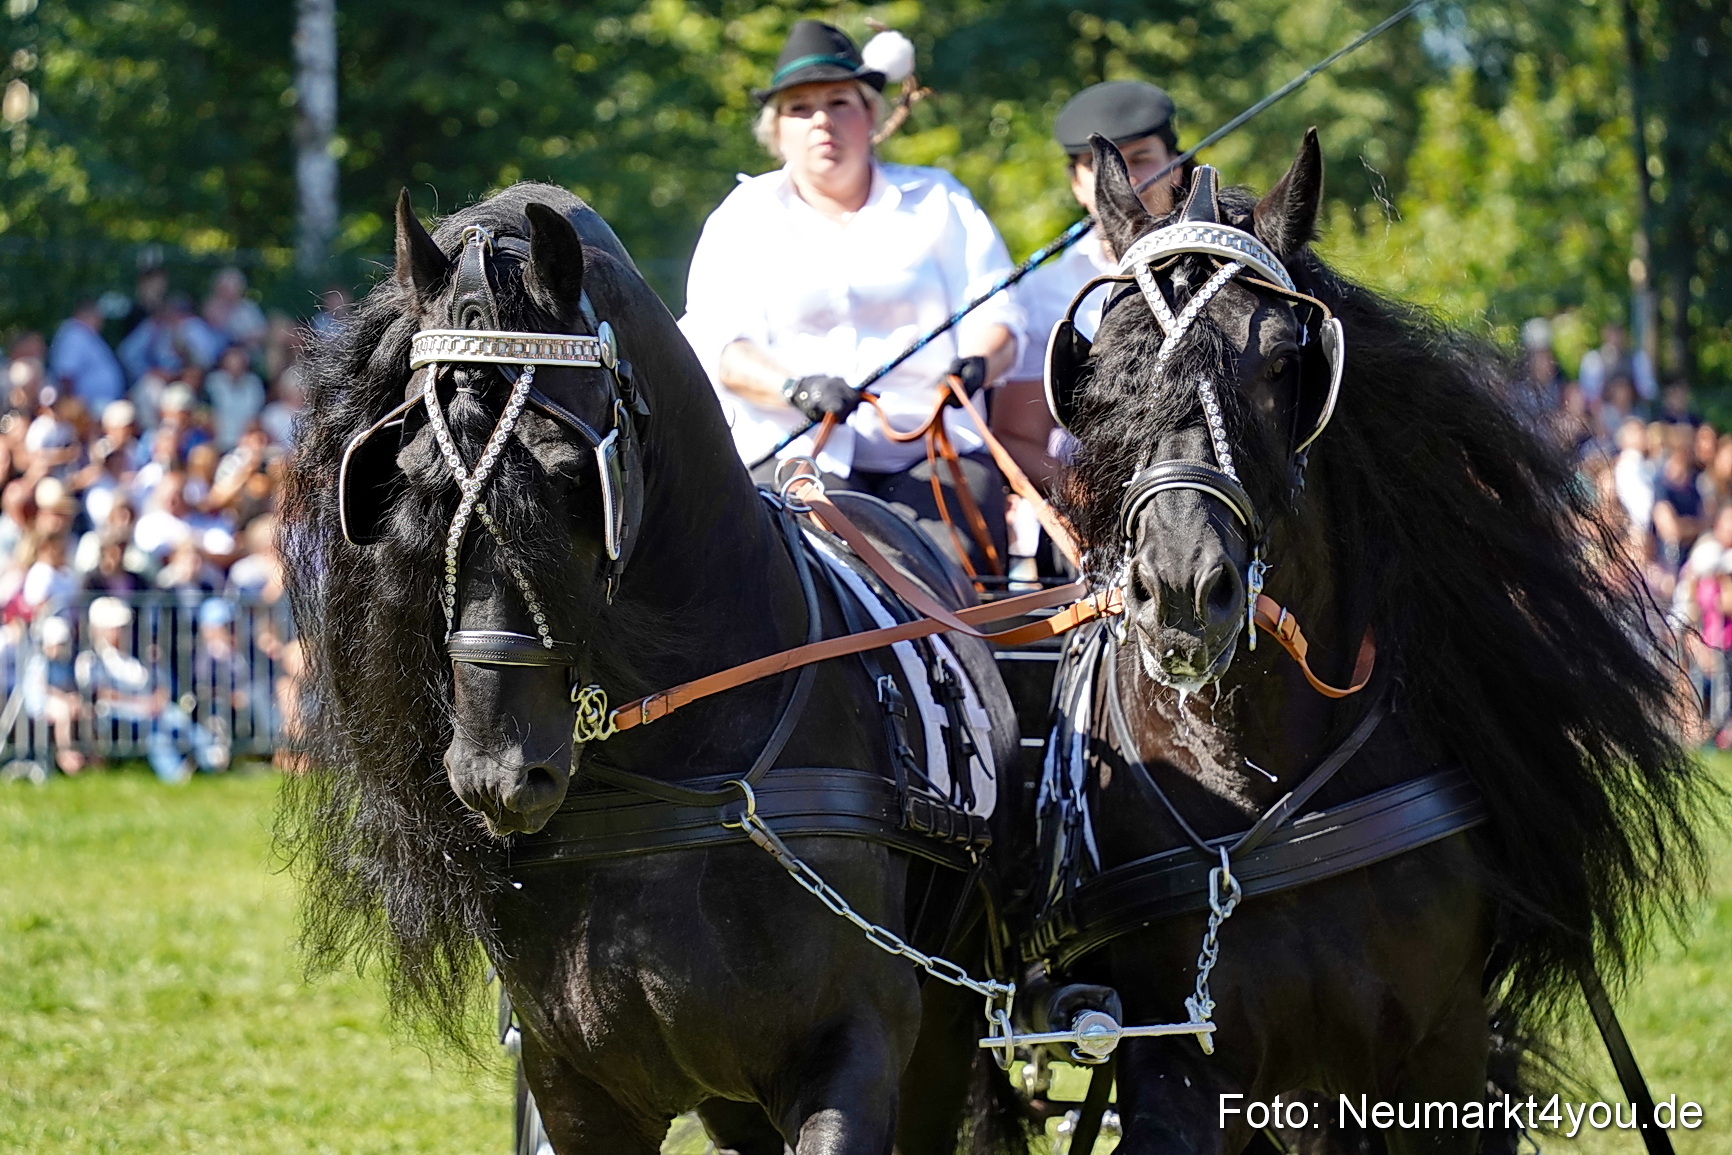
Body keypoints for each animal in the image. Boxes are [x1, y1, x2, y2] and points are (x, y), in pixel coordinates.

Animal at [276, 181, 1025, 1155]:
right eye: (411, 482)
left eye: (569, 480)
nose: (496, 772)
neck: (677, 774)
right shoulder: (577, 1083)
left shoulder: (854, 1049)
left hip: (945, 1021)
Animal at [1010, 132, 1709, 1154]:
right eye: (1100, 372)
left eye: (1280, 365)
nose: (1181, 590)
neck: (1256, 780)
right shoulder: (1178, 1059)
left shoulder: (1438, 1049)